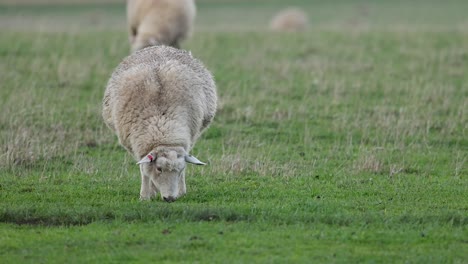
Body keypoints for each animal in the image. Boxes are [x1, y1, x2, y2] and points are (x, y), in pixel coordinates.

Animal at [101, 45, 217, 202]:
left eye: (180, 170)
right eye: (159, 168)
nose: (170, 198)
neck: (162, 127)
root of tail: (159, 47)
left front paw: (181, 191)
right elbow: (144, 170)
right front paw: (145, 195)